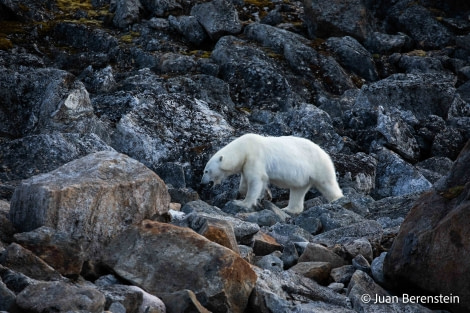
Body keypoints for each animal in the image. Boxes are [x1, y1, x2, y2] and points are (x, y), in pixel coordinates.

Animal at [200, 133, 344, 213]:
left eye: (206, 171)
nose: (202, 182)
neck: (244, 148)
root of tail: (325, 153)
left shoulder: (255, 157)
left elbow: (256, 180)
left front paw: (242, 203)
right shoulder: (246, 163)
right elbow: (247, 180)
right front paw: (264, 194)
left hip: (318, 166)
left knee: (327, 184)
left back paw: (337, 199)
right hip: (304, 177)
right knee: (298, 191)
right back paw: (288, 209)